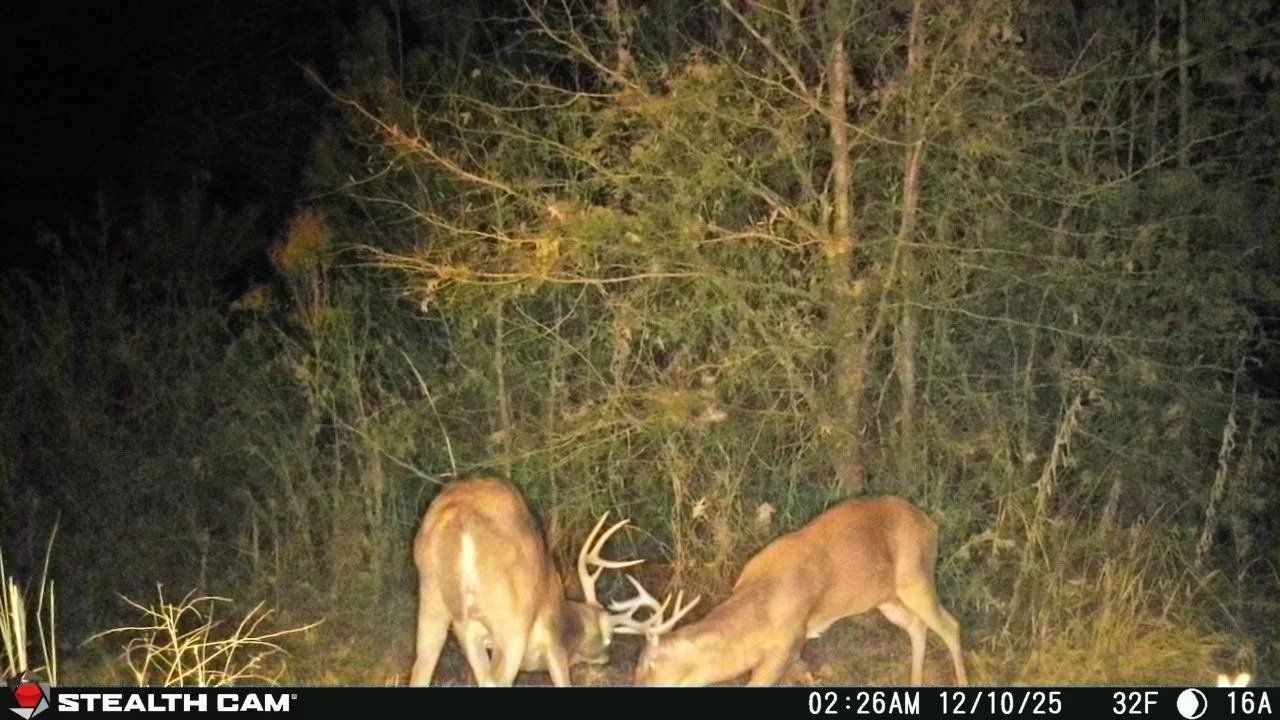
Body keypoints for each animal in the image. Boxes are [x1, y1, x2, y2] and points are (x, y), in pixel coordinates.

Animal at [409, 475, 699, 686]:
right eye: (608, 639)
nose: (606, 658)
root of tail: (457, 519)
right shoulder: (553, 645)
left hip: (433, 599)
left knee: (420, 670)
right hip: (510, 621)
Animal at [633, 495, 968, 686]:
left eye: (650, 665)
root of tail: (929, 523)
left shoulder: (787, 644)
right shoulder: (793, 651)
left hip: (916, 577)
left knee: (950, 625)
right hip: (885, 598)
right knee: (917, 626)